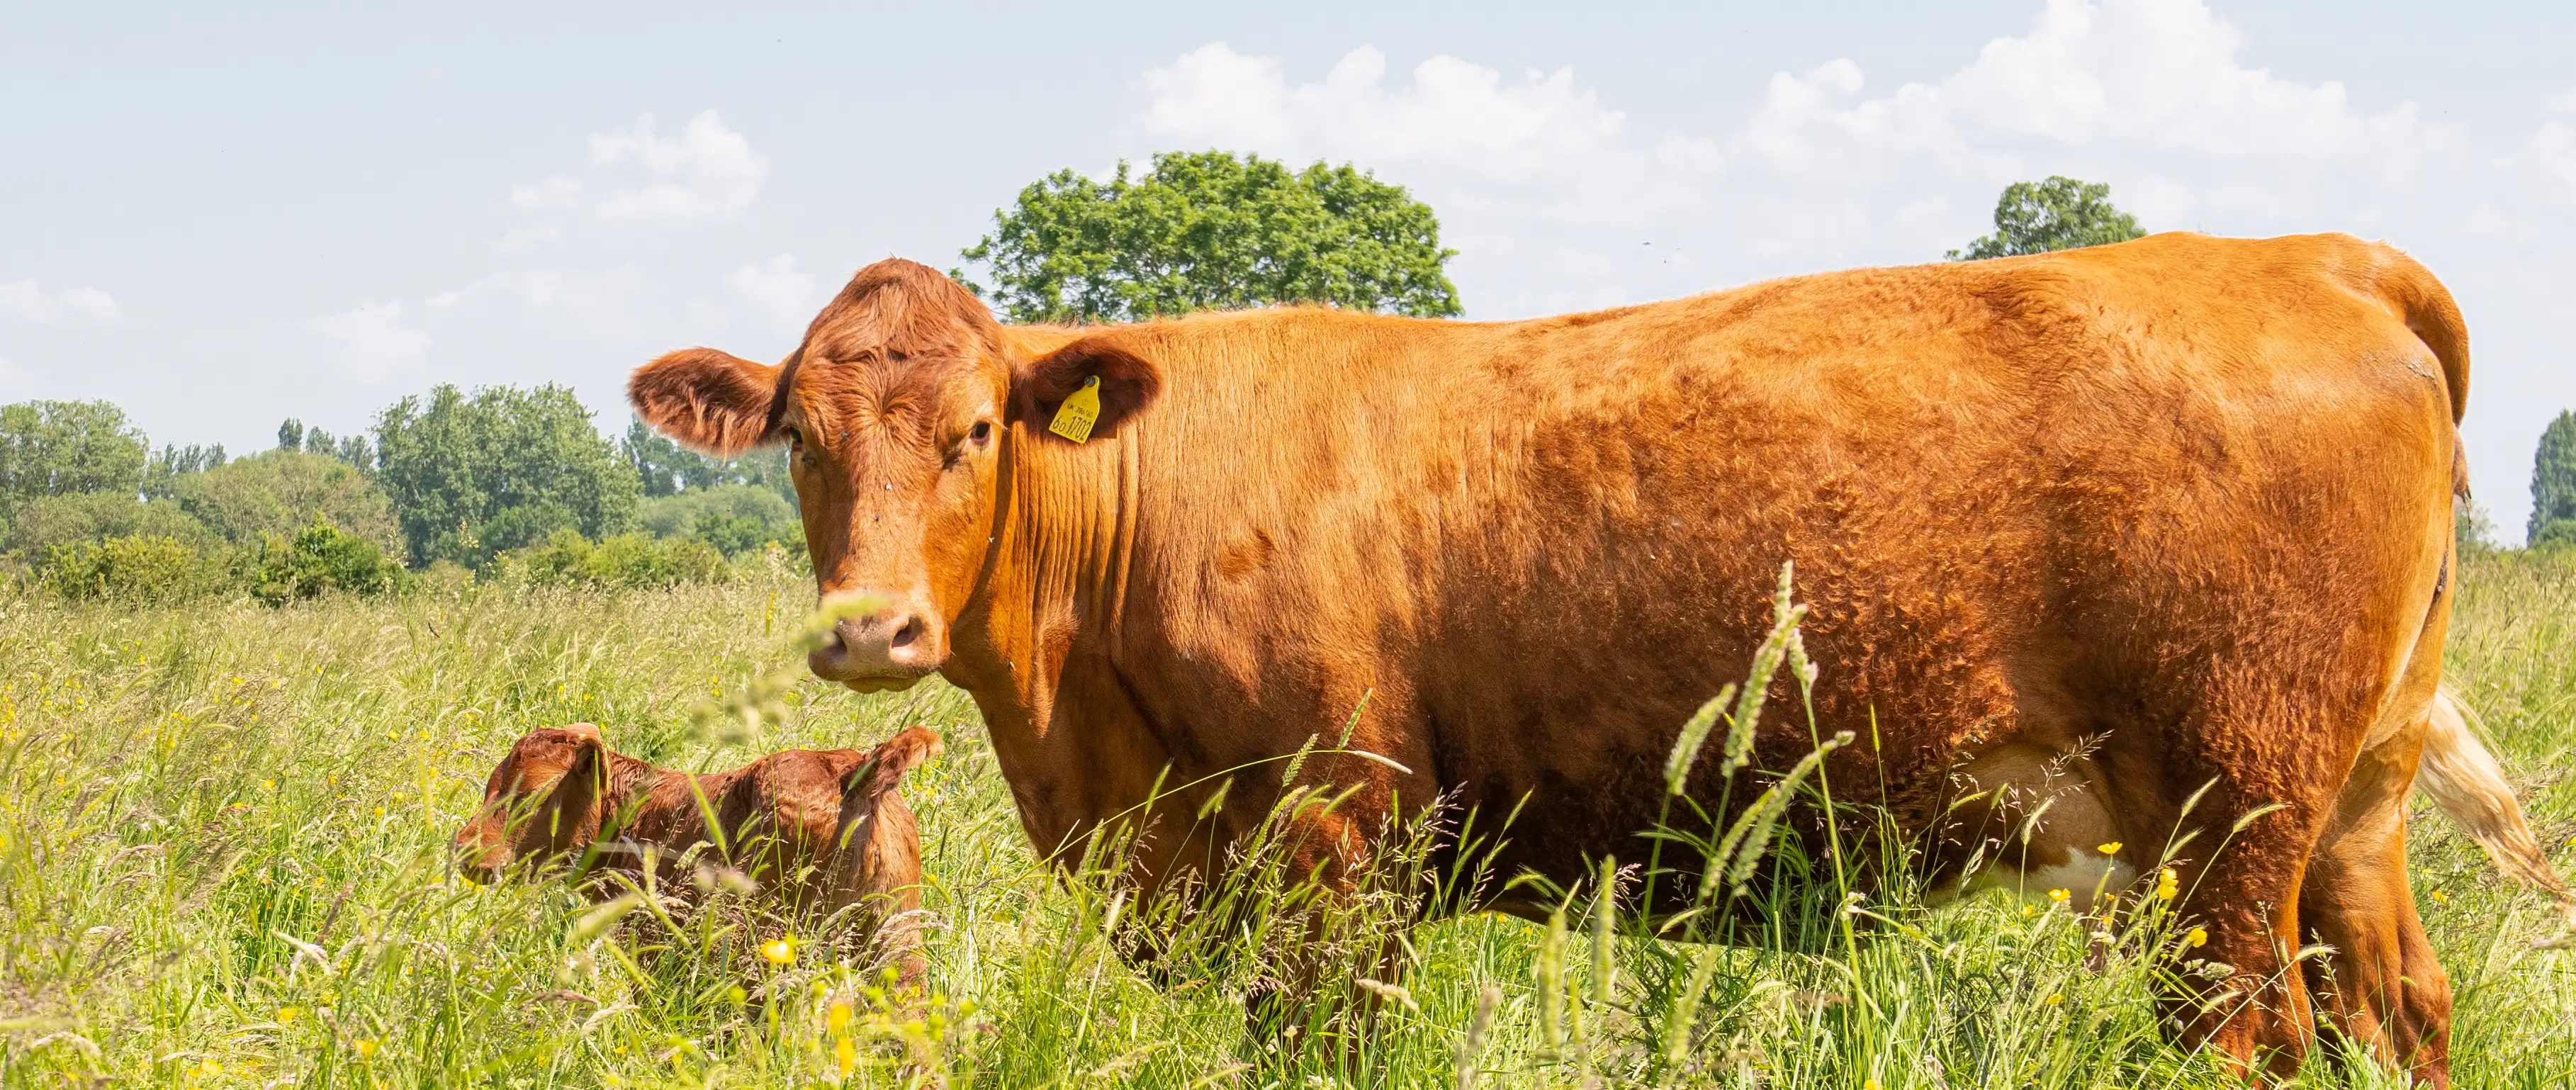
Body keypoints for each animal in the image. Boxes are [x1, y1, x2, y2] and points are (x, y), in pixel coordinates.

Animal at [628, 232, 2535, 1083]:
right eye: (798, 436)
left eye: (970, 429)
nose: (867, 627)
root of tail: (2306, 258)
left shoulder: (1336, 833)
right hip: (2344, 812)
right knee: (2394, 1006)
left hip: (2229, 815)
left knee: (2248, 1032)